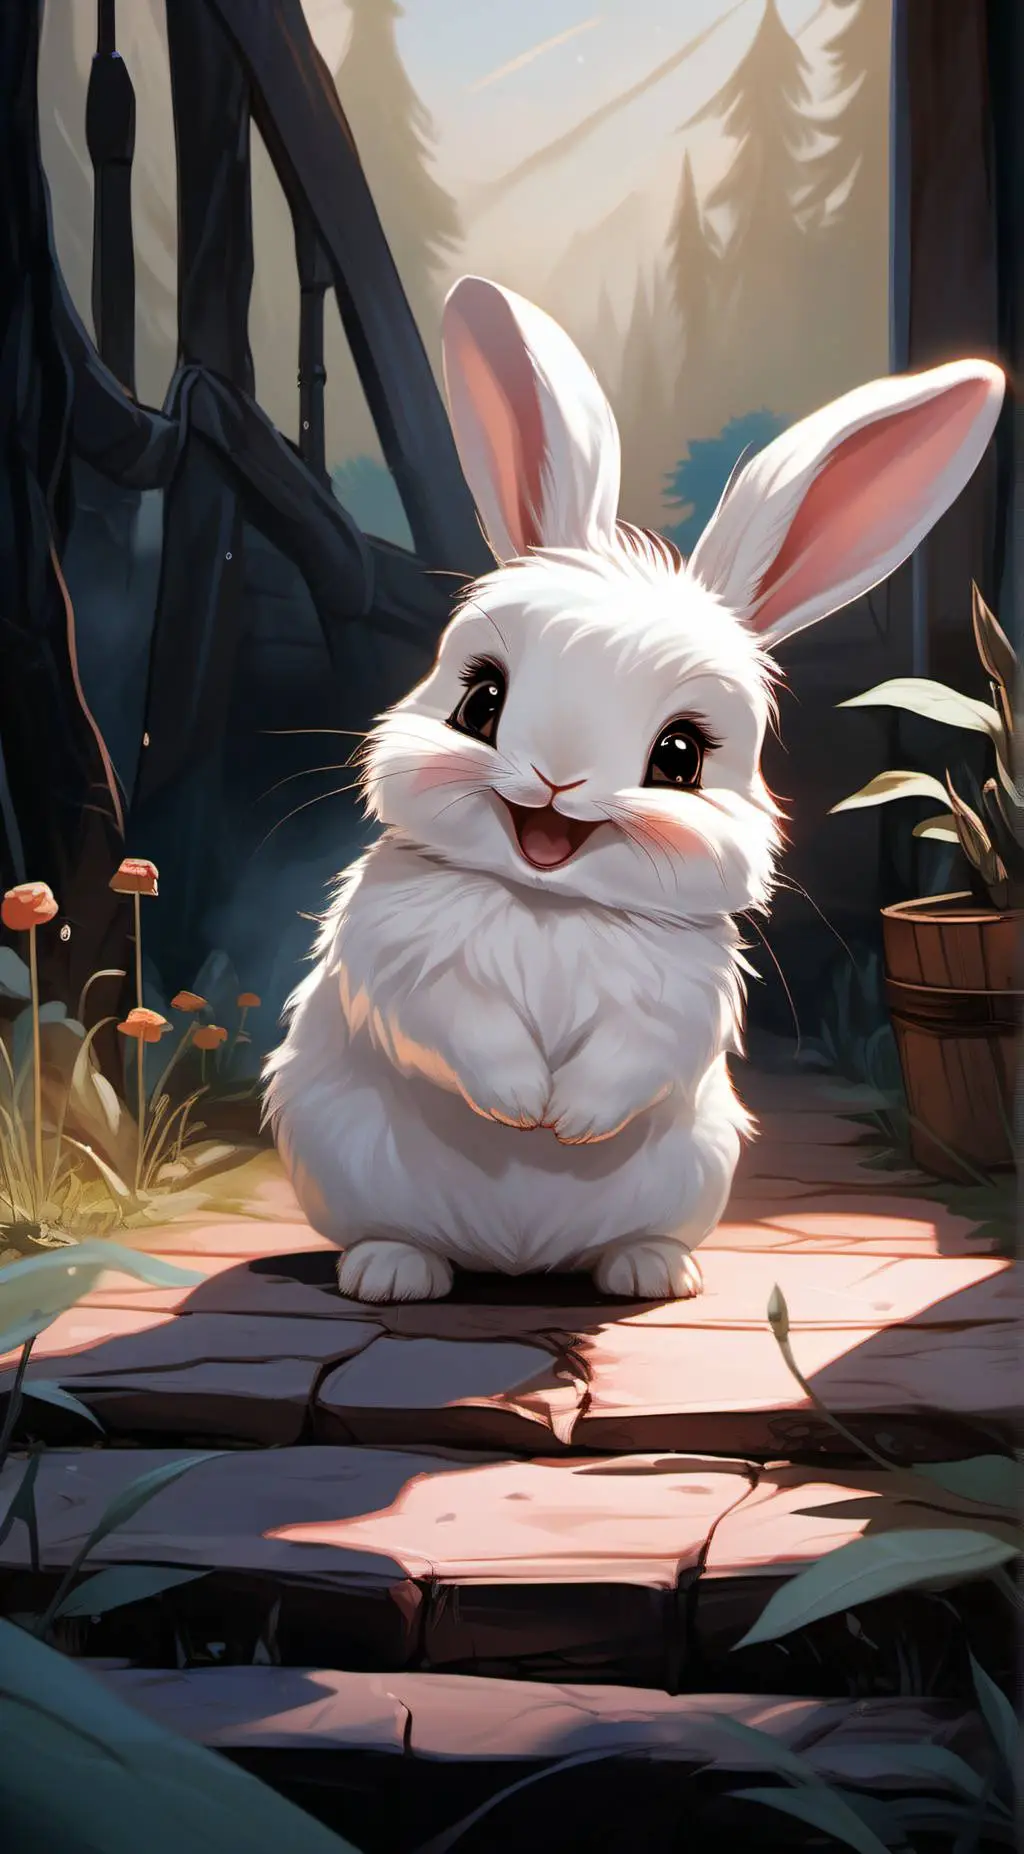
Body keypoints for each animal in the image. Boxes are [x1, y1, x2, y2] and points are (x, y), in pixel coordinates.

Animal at [263, 275, 1004, 1305]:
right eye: (481, 700)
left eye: (680, 757)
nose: (555, 779)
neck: (549, 901)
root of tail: (515, 1261)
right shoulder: (407, 960)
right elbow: (459, 1025)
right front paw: (520, 1106)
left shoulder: (675, 1003)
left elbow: (631, 1056)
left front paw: (568, 1122)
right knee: (388, 1235)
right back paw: (393, 1272)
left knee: (628, 1243)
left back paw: (653, 1272)